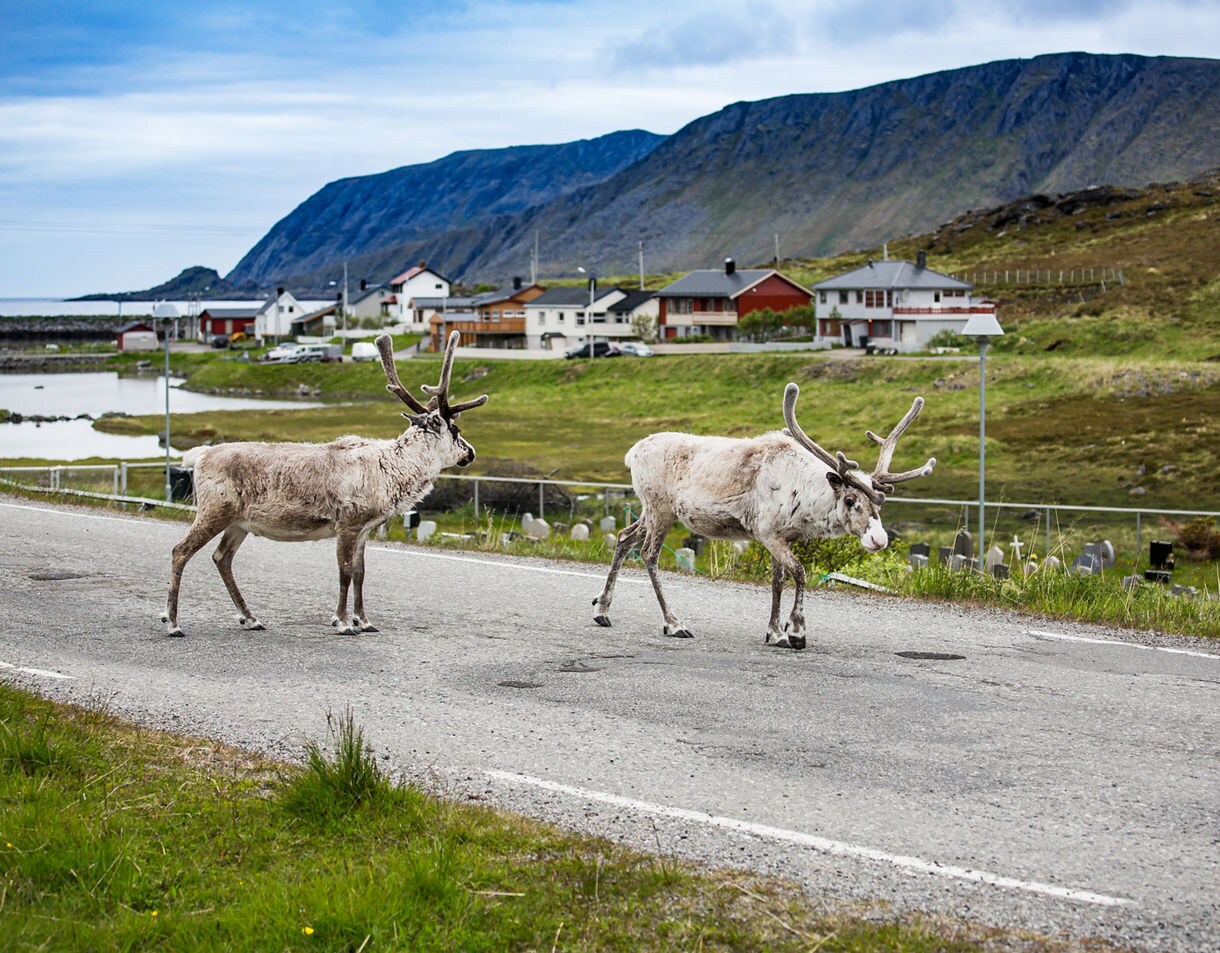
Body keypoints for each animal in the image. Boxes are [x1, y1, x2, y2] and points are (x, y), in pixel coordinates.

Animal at [162, 330, 487, 637]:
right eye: (455, 430)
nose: (471, 453)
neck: (392, 471)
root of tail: (199, 456)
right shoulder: (348, 523)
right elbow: (344, 572)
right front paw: (342, 622)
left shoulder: (365, 529)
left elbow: (360, 573)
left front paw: (364, 621)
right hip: (214, 510)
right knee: (180, 550)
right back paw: (173, 622)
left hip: (238, 523)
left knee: (222, 557)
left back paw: (251, 619)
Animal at [592, 382, 935, 649]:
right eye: (851, 500)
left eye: (879, 505)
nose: (879, 539)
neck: (805, 498)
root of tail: (632, 452)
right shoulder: (768, 532)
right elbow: (800, 573)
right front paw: (795, 631)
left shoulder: (781, 537)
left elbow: (777, 580)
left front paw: (774, 631)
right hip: (660, 507)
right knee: (648, 553)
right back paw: (674, 623)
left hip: (651, 510)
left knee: (623, 537)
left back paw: (602, 610)